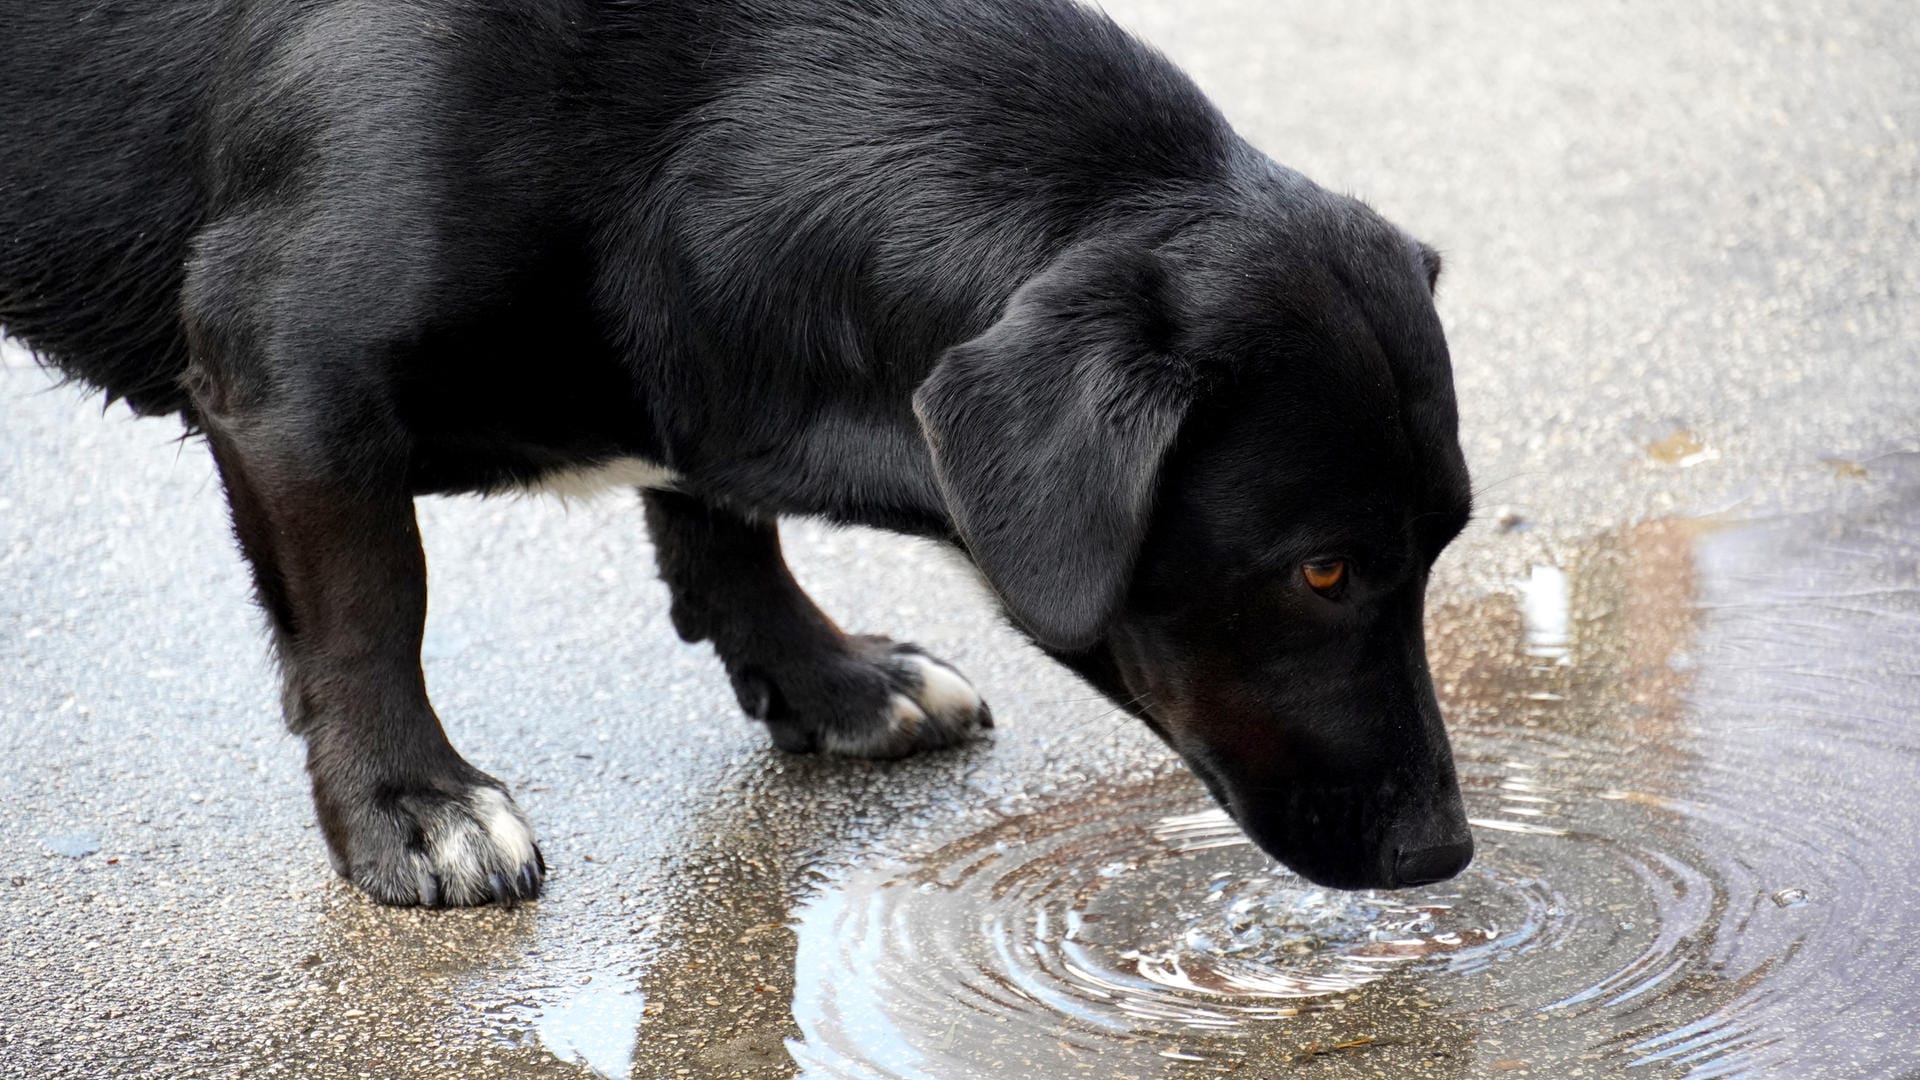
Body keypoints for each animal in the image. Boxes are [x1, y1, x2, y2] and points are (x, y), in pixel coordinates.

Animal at [0, 0, 1474, 903]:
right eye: (1322, 574)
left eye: (1444, 545)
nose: (1445, 852)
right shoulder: (283, 377)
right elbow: (372, 607)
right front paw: (411, 804)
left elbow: (719, 515)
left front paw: (828, 676)